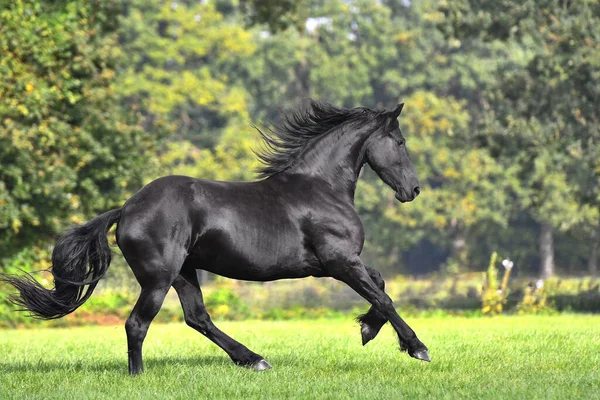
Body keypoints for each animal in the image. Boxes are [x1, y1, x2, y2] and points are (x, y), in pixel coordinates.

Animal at [2, 99, 428, 372]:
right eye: (401, 142)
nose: (414, 190)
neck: (319, 188)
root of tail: (126, 208)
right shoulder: (338, 261)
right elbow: (384, 296)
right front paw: (417, 348)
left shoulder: (334, 264)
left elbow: (380, 284)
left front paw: (367, 329)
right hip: (159, 278)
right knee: (138, 324)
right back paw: (140, 376)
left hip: (184, 273)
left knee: (197, 318)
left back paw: (254, 360)